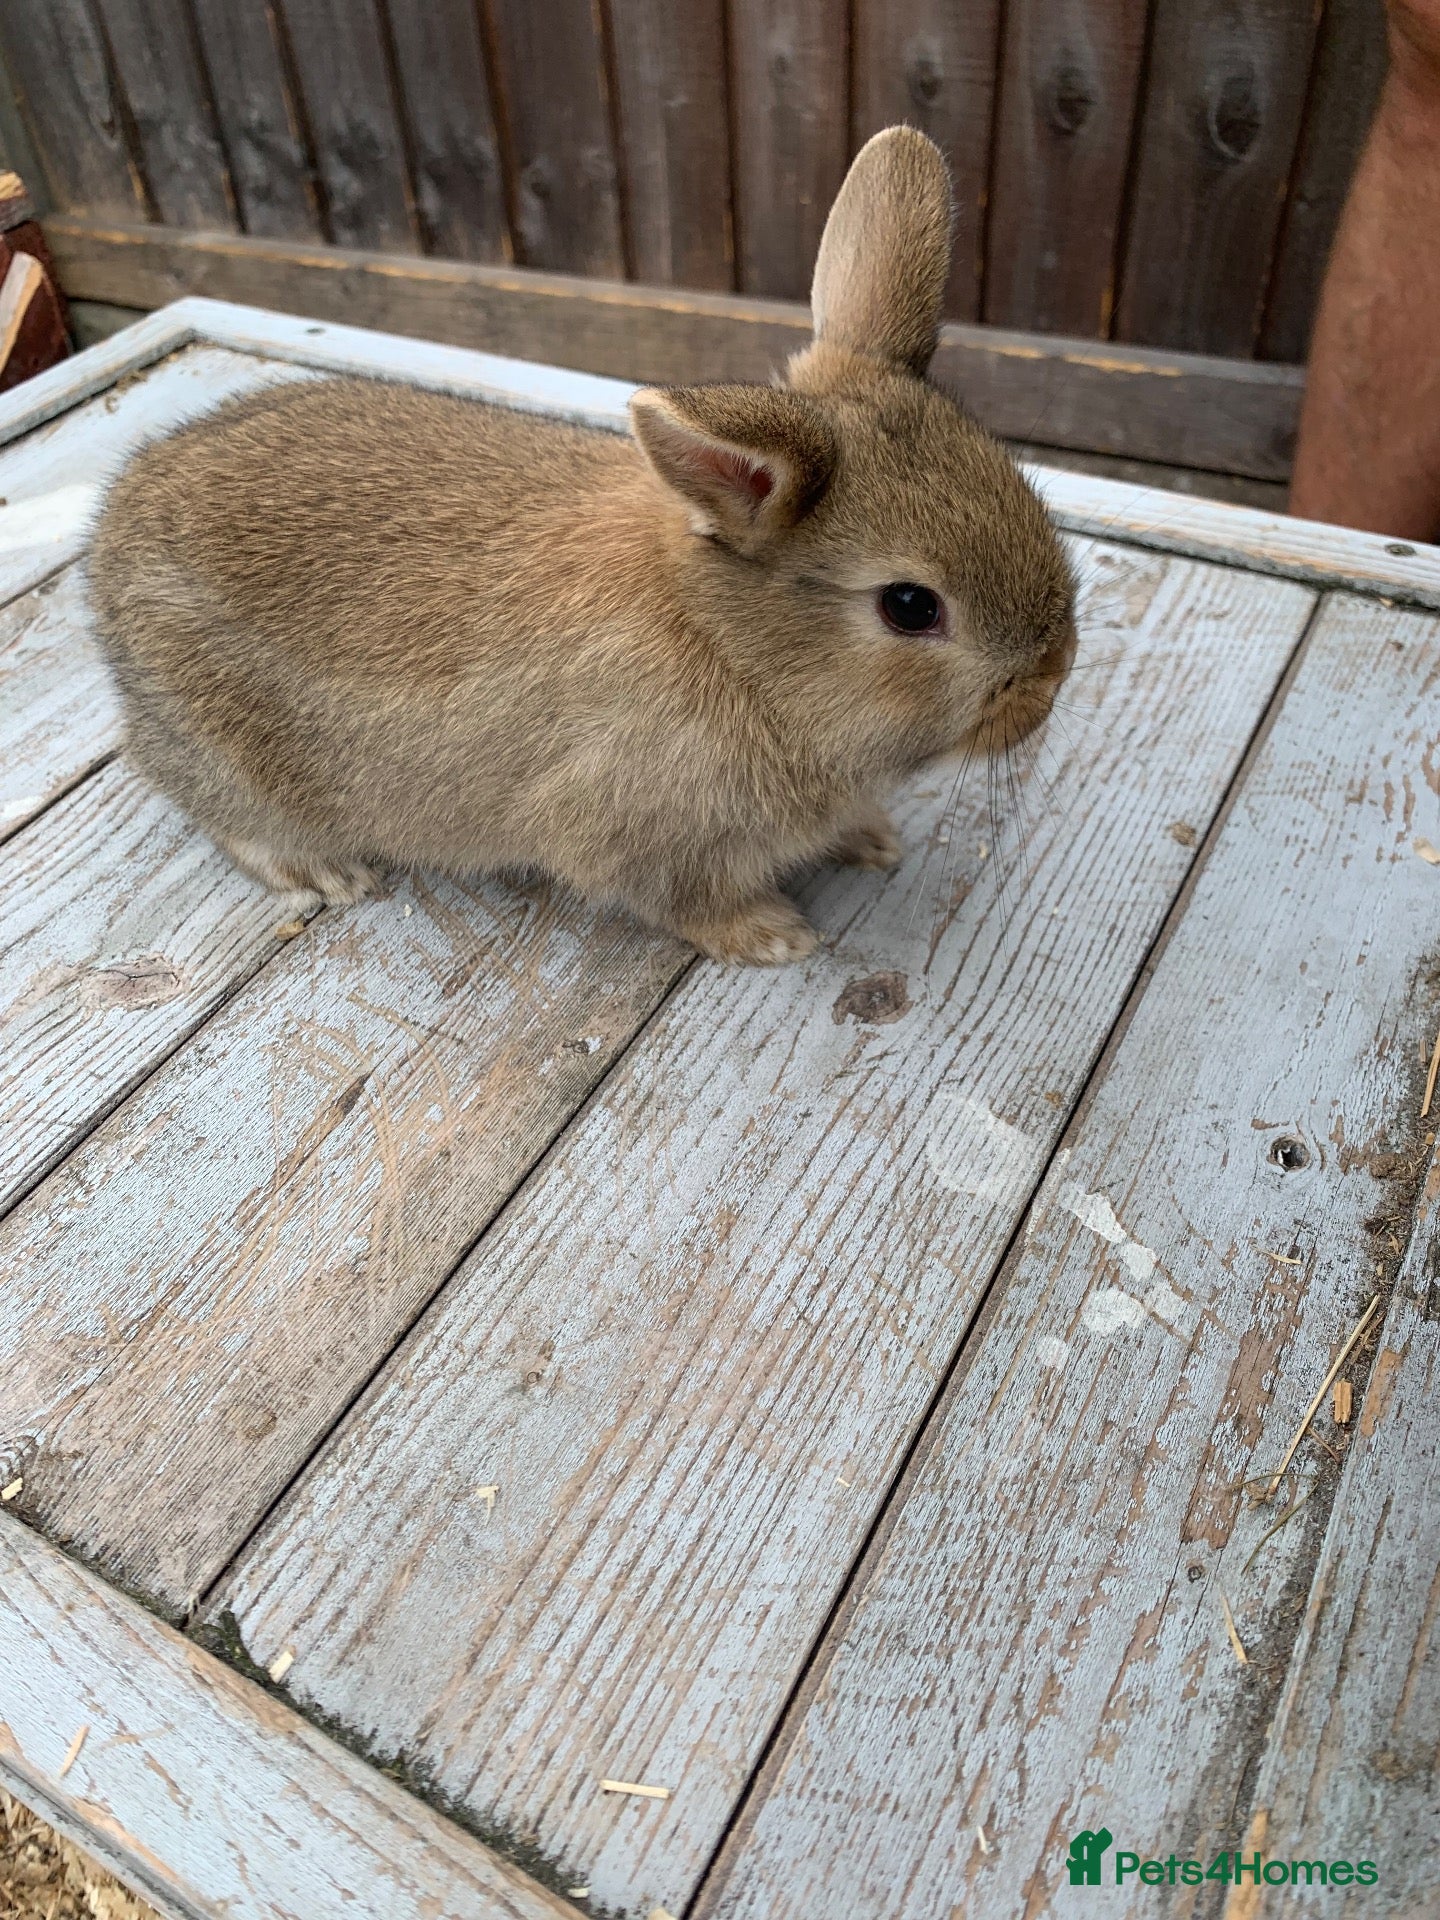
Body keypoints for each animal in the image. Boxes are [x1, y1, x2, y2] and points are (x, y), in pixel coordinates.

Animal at [87, 126, 1077, 966]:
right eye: (911, 607)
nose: (1049, 684)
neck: (732, 646)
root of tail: (113, 533)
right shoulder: (633, 834)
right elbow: (684, 899)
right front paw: (774, 937)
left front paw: (871, 840)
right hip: (227, 753)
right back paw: (327, 871)